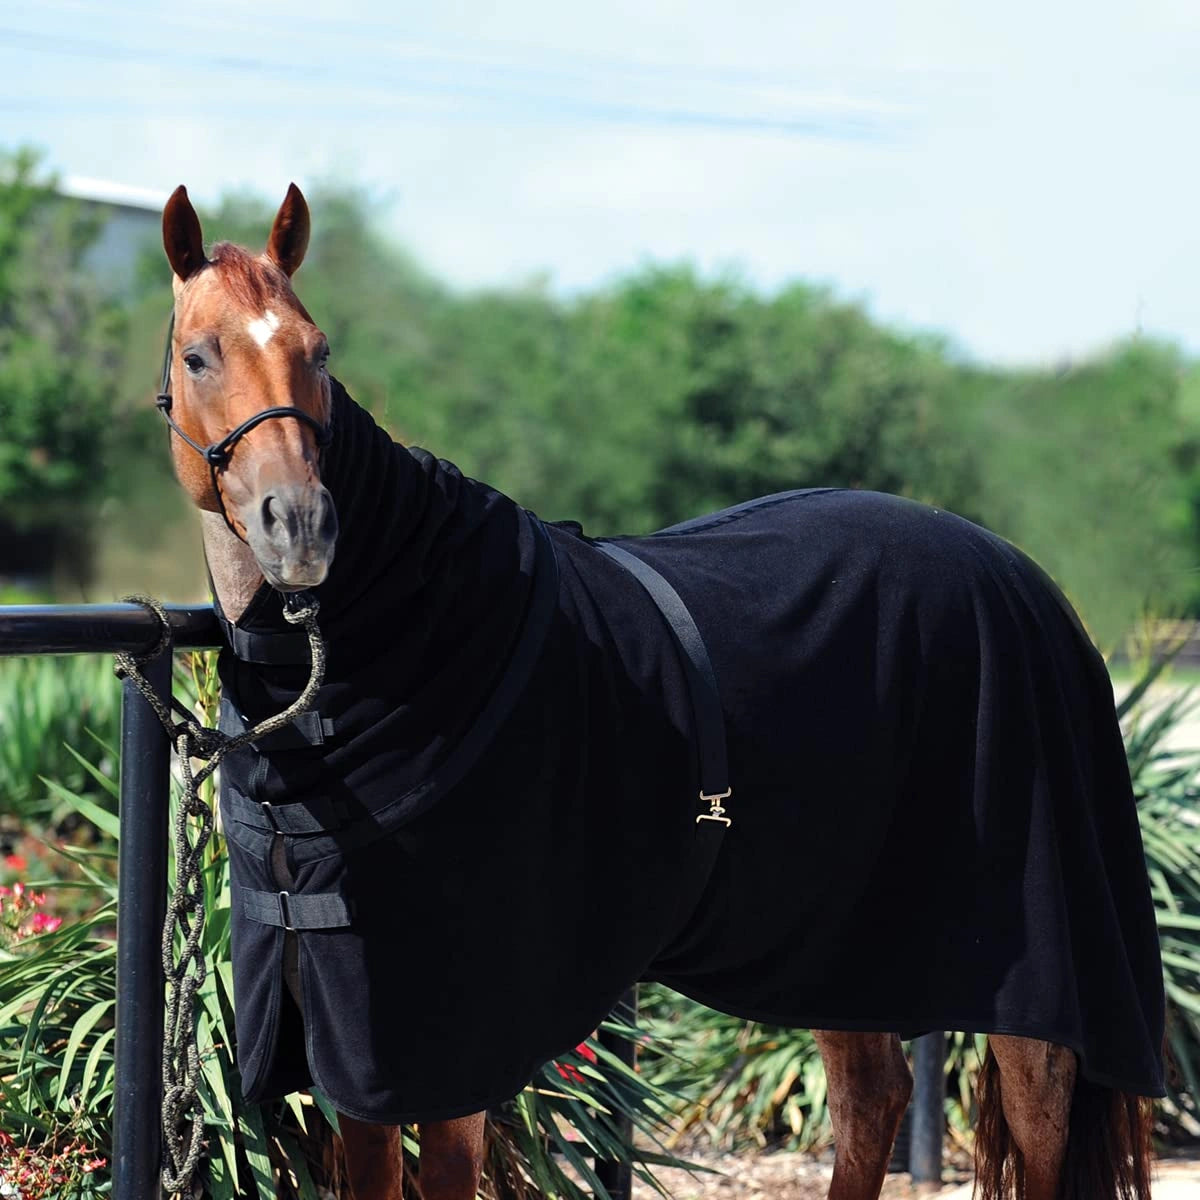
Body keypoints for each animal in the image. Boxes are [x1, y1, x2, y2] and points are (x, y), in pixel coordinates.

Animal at [157, 182, 1164, 1200]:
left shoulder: (444, 1041)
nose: (301, 527)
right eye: (200, 354)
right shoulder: (349, 1029)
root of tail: (1024, 578)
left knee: (1036, 1113)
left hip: (1031, 968)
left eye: (319, 351)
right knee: (872, 1095)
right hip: (840, 941)